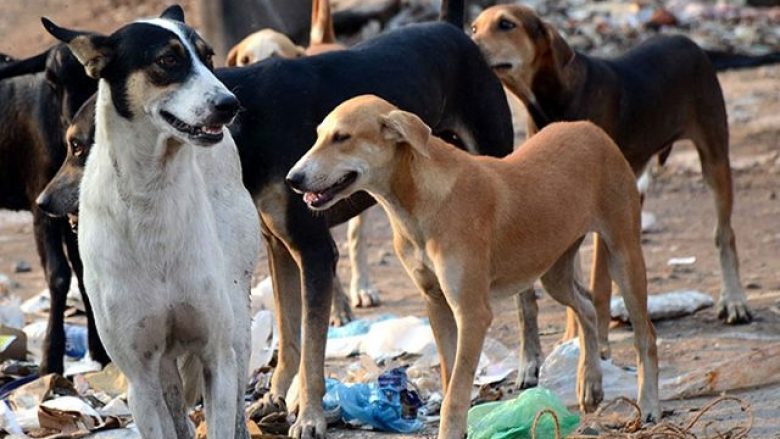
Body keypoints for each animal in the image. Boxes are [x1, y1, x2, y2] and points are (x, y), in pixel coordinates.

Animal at [0, 45, 106, 374]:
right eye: (51, 80)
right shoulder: (41, 205)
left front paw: (101, 352)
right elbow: (59, 275)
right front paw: (50, 359)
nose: (75, 128)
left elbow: (84, 272)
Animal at [42, 6, 258, 439]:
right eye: (168, 60)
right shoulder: (140, 375)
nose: (230, 104)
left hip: (237, 322)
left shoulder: (216, 354)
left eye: (209, 58)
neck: (151, 194)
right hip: (161, 367)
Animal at [286, 94, 660, 438]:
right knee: (586, 307)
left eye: (342, 137)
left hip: (624, 254)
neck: (418, 202)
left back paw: (649, 404)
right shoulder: (436, 302)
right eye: (319, 135)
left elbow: (457, 390)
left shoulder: (472, 311)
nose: (292, 178)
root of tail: (590, 129)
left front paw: (451, 429)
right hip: (553, 269)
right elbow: (451, 376)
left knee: (645, 335)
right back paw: (590, 383)